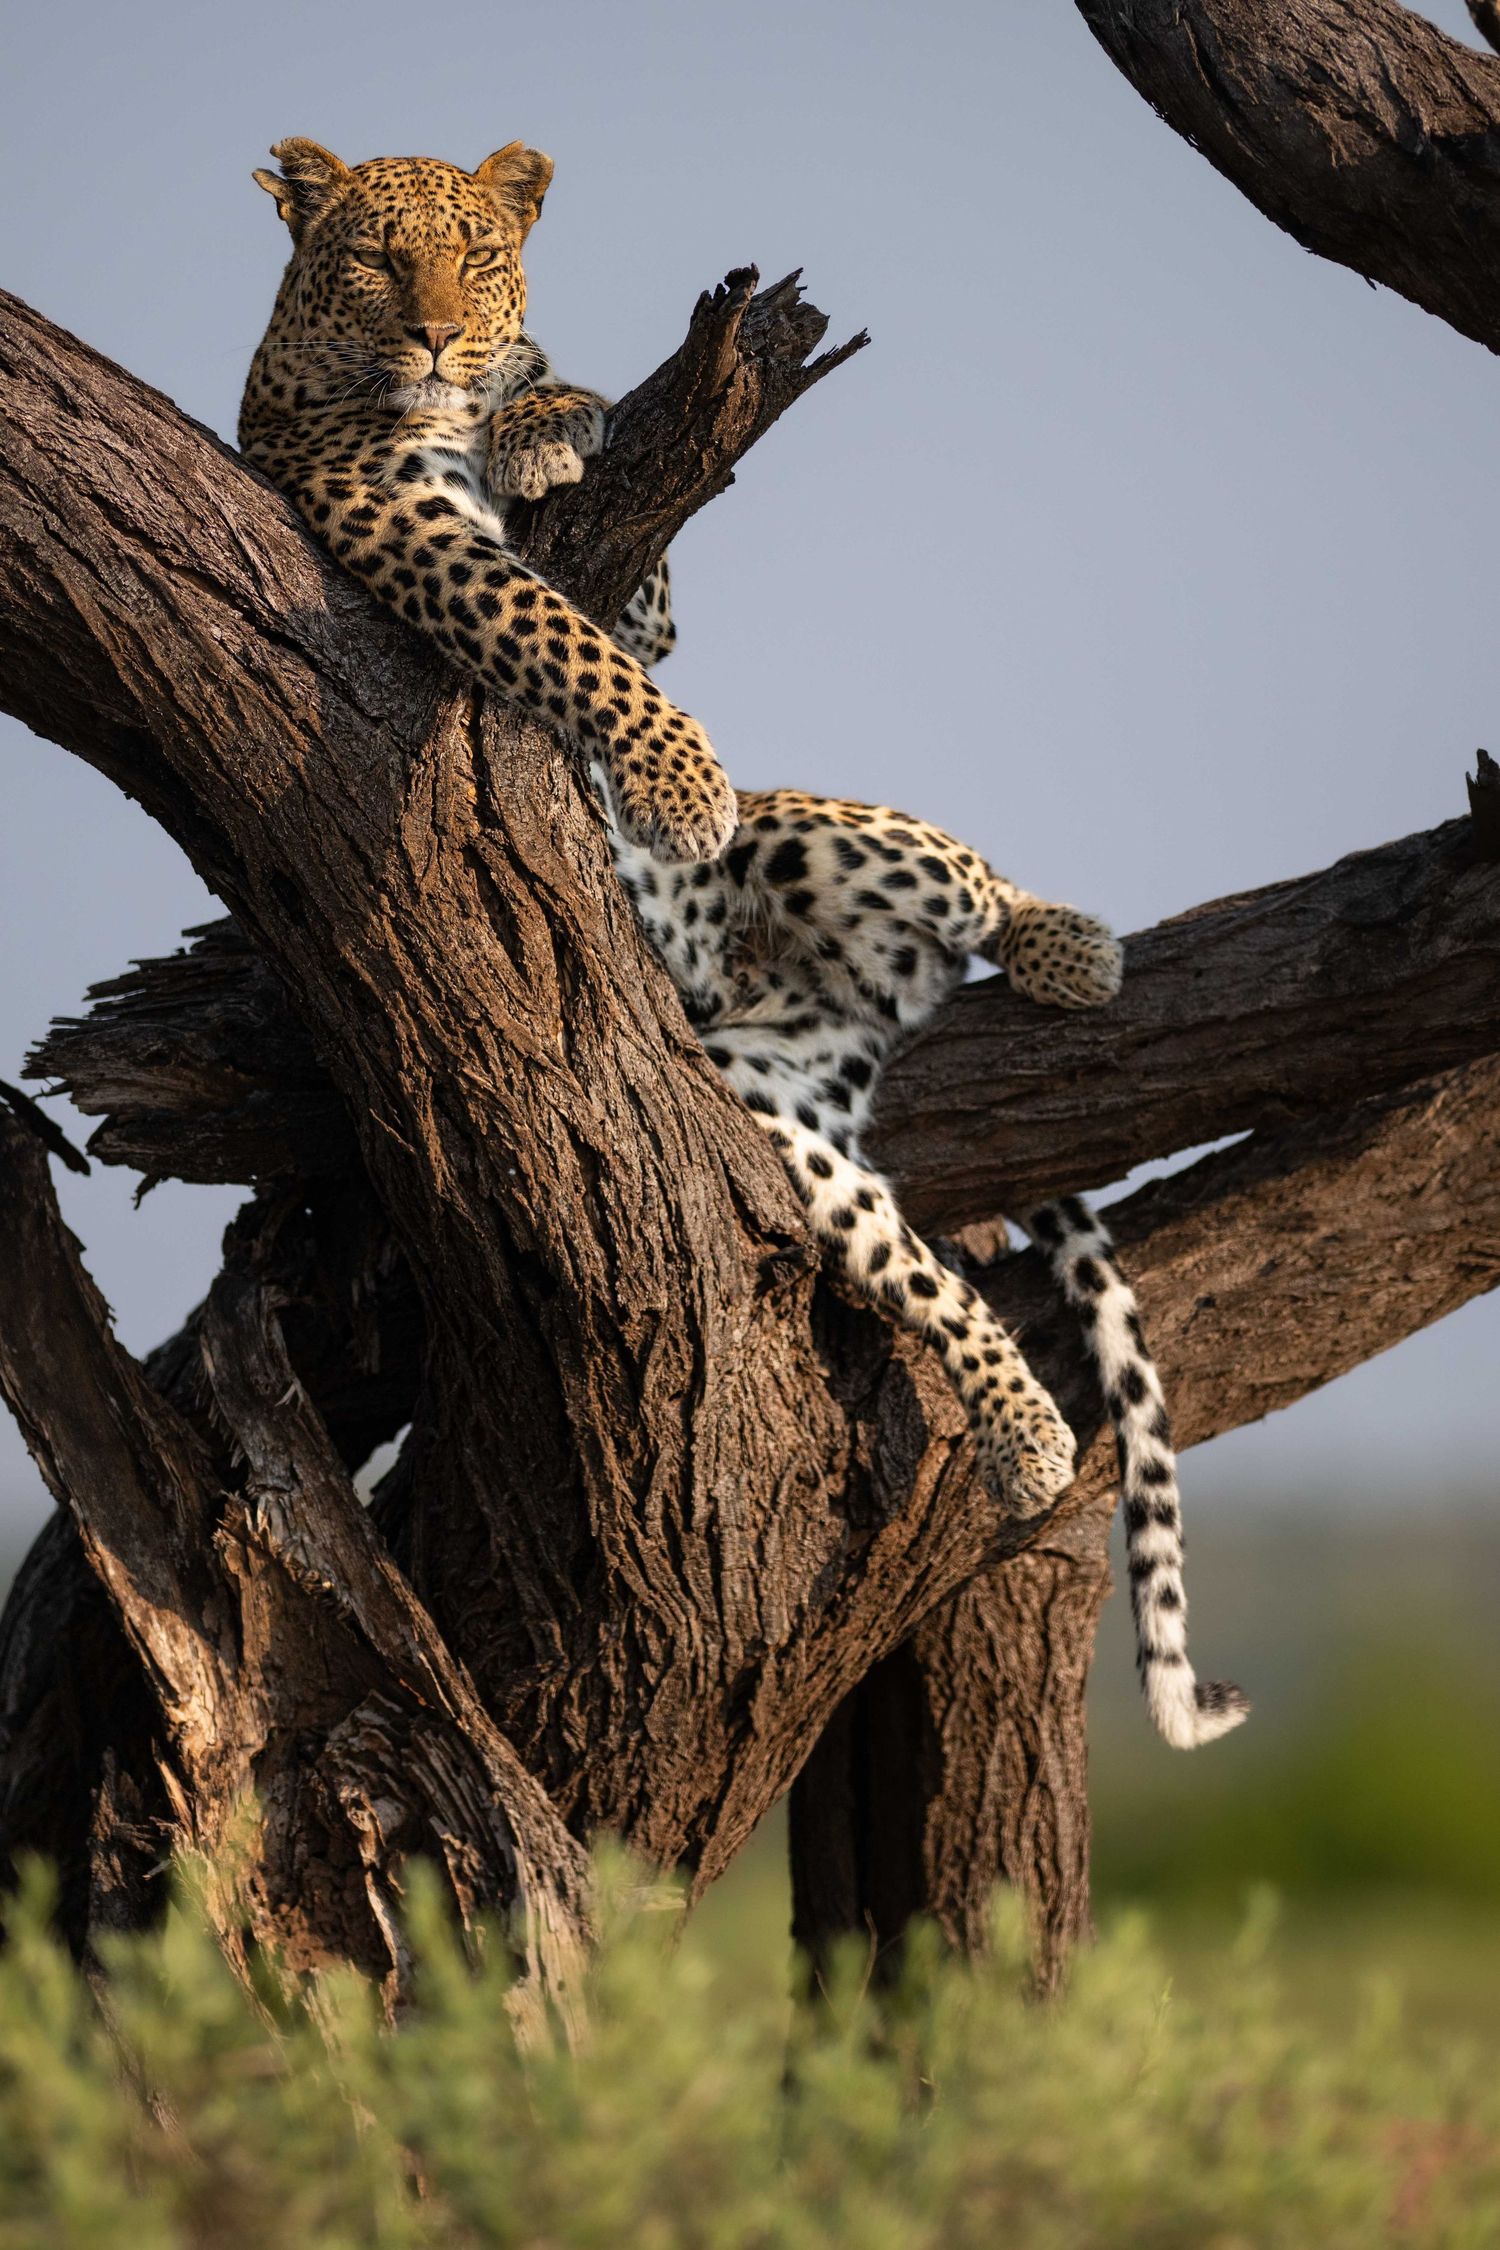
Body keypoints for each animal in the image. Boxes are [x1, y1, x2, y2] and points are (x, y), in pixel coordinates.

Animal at [244, 142, 1246, 1751]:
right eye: (375, 262)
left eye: (474, 257)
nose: (439, 341)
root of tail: (847, 1017)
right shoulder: (390, 514)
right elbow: (552, 628)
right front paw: (669, 782)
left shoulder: (640, 592)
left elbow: (629, 604)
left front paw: (548, 410)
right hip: (773, 1111)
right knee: (921, 1278)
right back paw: (1027, 1435)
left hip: (841, 844)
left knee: (963, 881)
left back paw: (1065, 945)